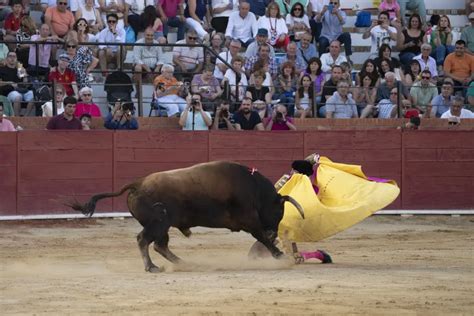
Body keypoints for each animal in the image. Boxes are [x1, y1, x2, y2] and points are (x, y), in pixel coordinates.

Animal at [69, 160, 304, 272]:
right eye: (279, 212)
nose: (274, 231)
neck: (254, 189)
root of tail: (138, 183)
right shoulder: (250, 220)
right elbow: (261, 238)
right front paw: (282, 257)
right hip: (158, 222)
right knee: (144, 240)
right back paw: (152, 267)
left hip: (163, 226)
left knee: (159, 245)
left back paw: (184, 264)